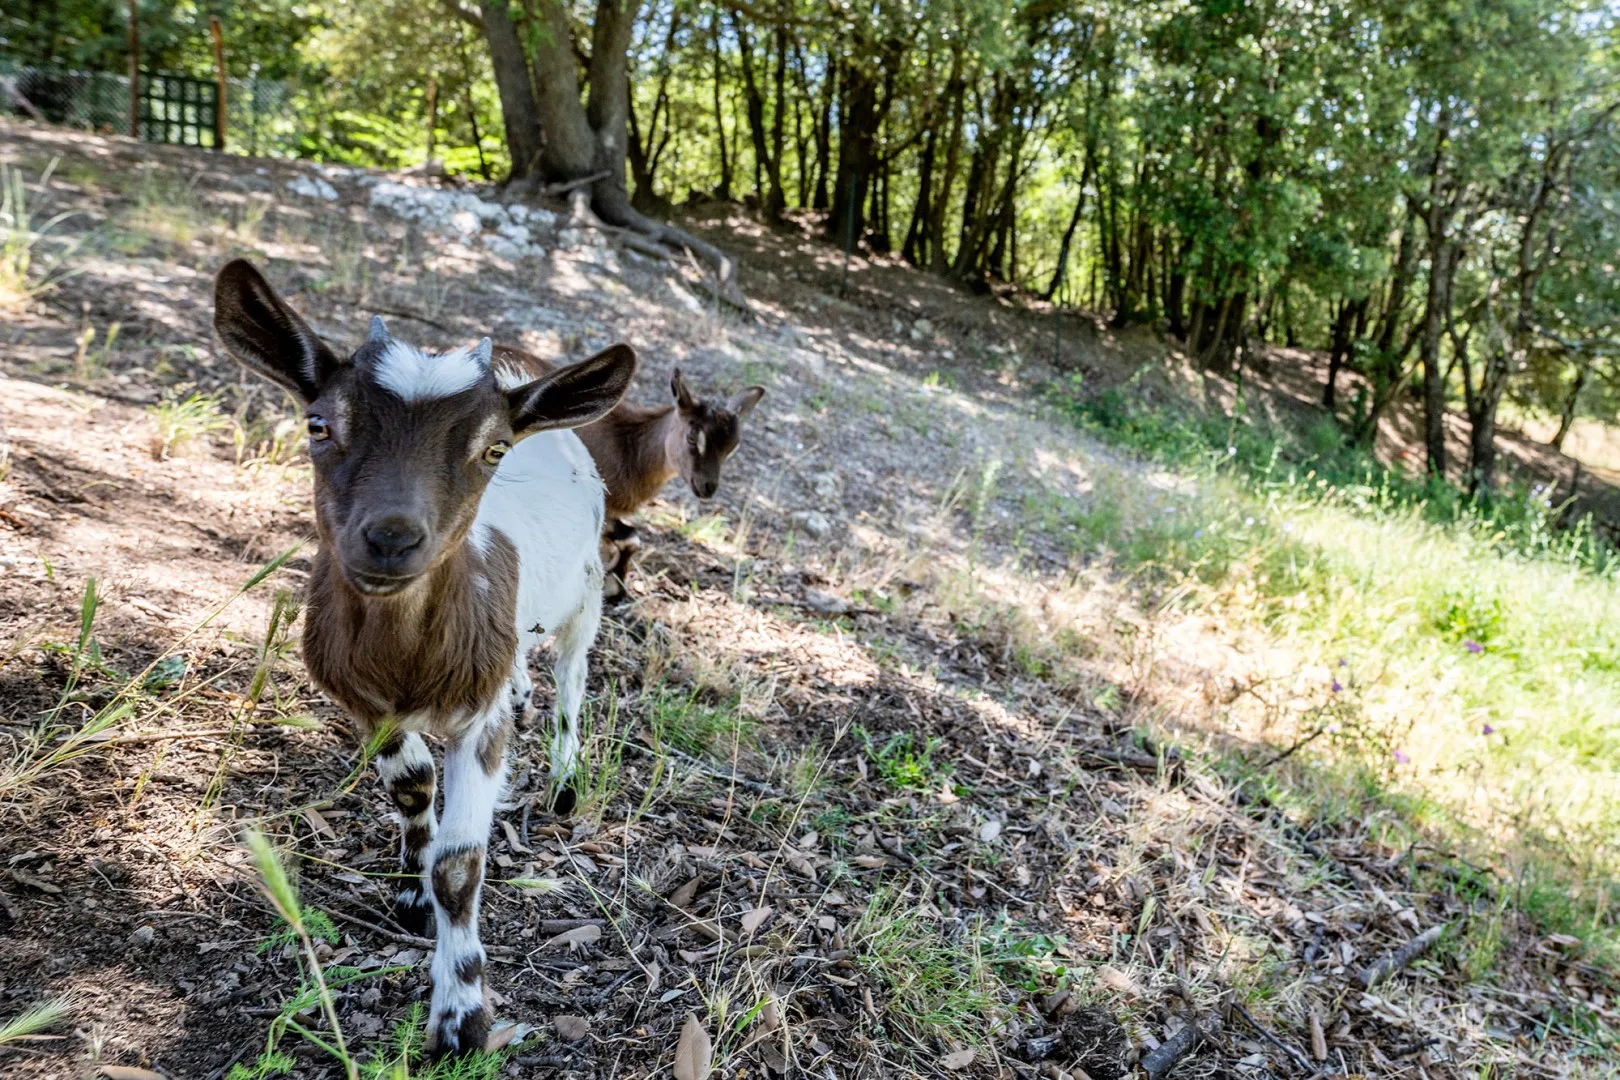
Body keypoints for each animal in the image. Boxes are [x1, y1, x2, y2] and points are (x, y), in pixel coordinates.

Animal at [213, 259, 636, 1058]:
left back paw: (565, 780)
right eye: (319, 424)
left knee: (573, 677)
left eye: (492, 450)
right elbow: (412, 787)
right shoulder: (365, 704)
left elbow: (461, 864)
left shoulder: (479, 719)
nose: (390, 539)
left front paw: (461, 1016)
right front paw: (409, 888)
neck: (409, 659)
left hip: (588, 593)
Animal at [491, 344, 764, 595]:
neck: (627, 448)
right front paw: (613, 585)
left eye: (733, 447)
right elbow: (629, 537)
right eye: (692, 437)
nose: (707, 487)